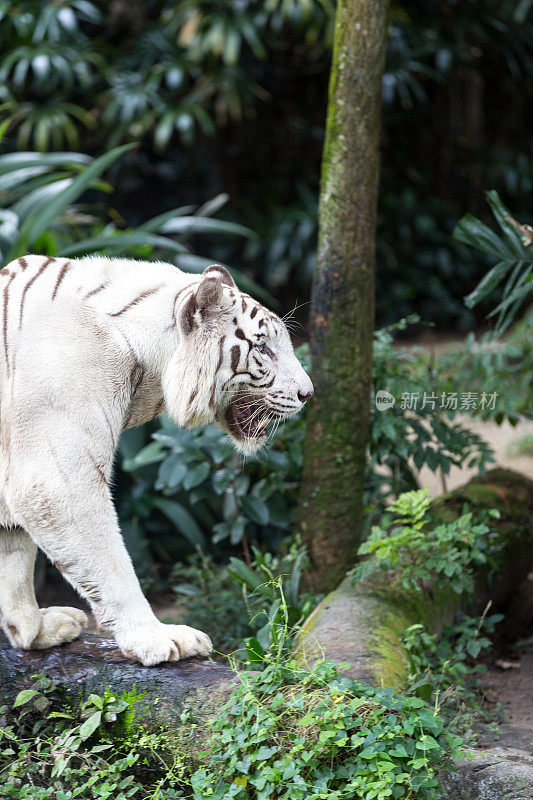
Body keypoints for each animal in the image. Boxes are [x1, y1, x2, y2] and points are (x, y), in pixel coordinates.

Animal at [0, 255, 312, 664]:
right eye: (263, 348)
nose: (308, 393)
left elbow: (13, 558)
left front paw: (33, 631)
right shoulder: (55, 480)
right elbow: (112, 567)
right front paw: (155, 638)